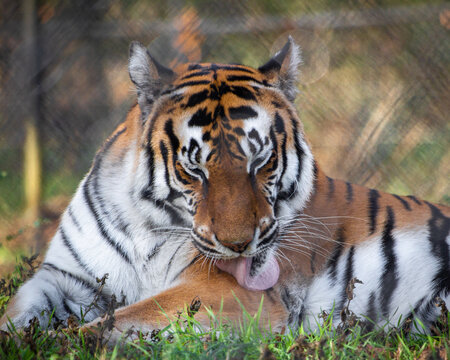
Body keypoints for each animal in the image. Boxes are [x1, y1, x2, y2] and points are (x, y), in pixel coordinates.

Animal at [1, 37, 448, 340]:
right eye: (194, 170)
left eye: (260, 162)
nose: (238, 246)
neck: (143, 225)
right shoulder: (65, 278)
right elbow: (17, 311)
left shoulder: (222, 290)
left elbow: (114, 322)